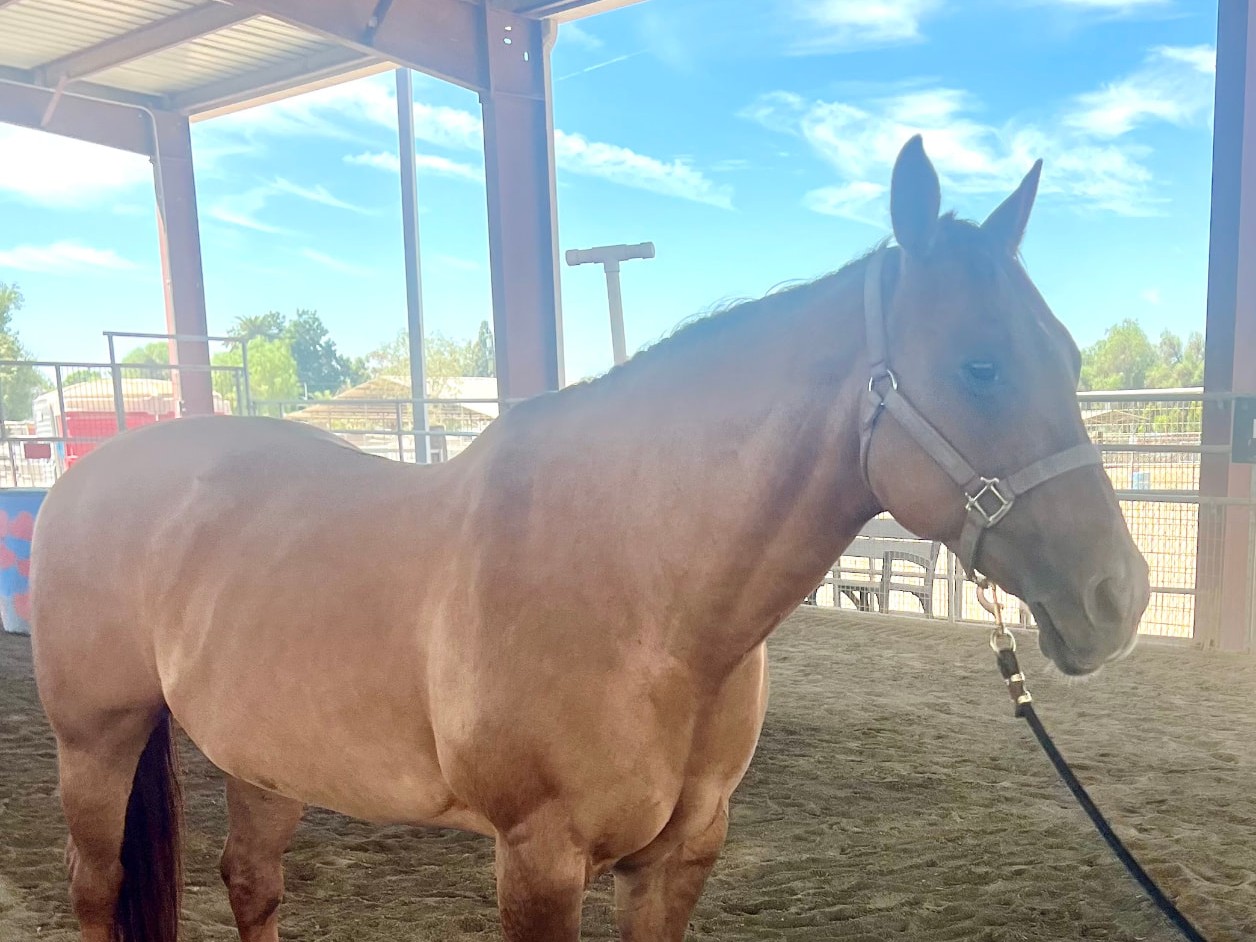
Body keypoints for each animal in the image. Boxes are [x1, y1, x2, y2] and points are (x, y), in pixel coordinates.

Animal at [30, 135, 1150, 942]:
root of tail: (84, 479)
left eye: (1066, 355)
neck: (643, 593)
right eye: (979, 366)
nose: (1122, 596)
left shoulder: (677, 859)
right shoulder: (539, 859)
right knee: (96, 887)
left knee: (250, 882)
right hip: (97, 742)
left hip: (264, 760)